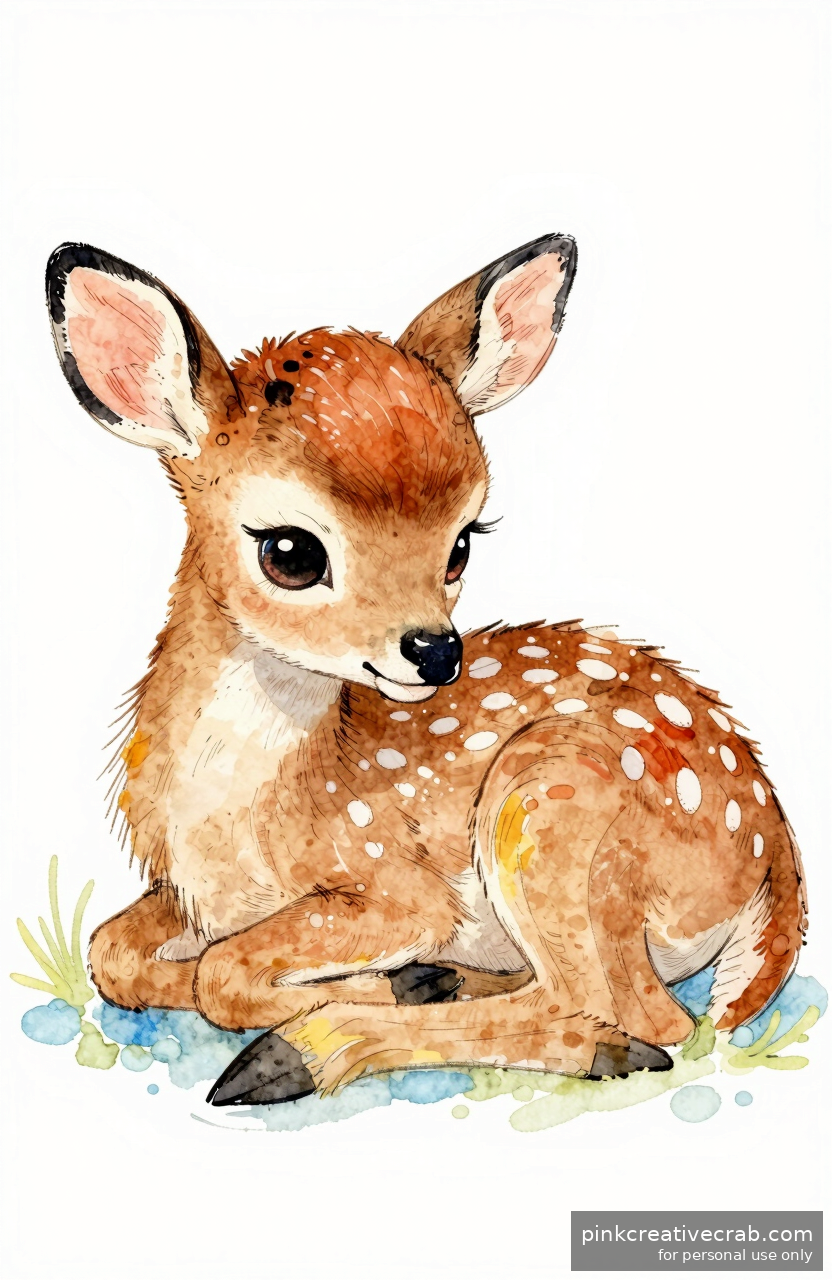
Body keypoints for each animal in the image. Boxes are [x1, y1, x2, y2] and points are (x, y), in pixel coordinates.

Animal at [46, 234, 807, 1106]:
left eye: (462, 544)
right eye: (290, 552)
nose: (437, 650)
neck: (239, 819)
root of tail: (776, 855)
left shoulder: (398, 889)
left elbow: (223, 976)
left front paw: (359, 993)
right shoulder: (189, 899)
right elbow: (114, 953)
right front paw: (393, 981)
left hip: (553, 806)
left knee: (631, 1014)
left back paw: (315, 1047)